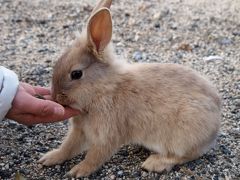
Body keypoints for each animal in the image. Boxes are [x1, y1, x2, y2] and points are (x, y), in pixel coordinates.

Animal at [38, 0, 221, 177]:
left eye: (76, 74)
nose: (56, 97)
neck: (104, 89)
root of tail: (214, 127)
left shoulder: (108, 134)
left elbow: (95, 156)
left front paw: (78, 171)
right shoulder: (80, 130)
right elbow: (68, 147)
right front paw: (49, 158)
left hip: (183, 134)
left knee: (184, 155)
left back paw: (154, 163)